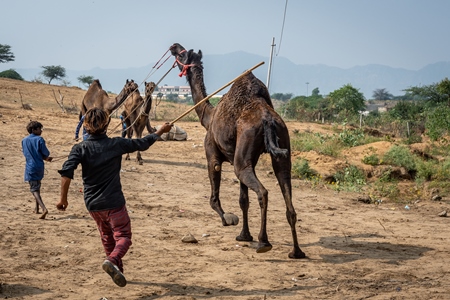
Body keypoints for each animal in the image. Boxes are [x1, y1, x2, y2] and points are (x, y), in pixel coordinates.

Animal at [170, 41, 306, 258]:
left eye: (183, 55)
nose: (174, 46)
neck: (209, 117)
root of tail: (267, 119)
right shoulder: (242, 157)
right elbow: (243, 199)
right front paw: (244, 235)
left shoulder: (212, 154)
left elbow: (214, 199)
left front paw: (228, 220)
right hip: (281, 146)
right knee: (285, 186)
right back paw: (296, 251)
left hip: (244, 155)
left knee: (262, 192)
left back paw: (263, 242)